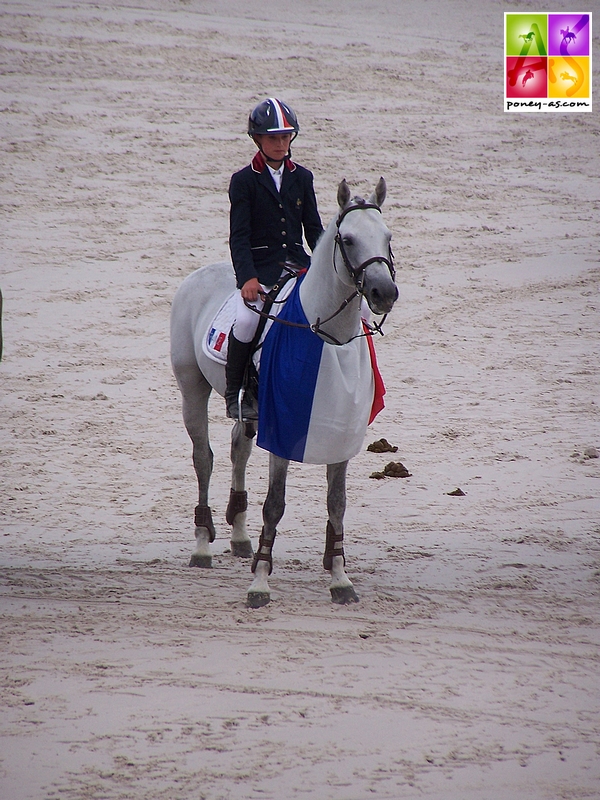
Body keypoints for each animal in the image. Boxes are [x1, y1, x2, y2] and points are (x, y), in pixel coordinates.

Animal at [172, 178, 398, 608]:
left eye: (388, 237)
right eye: (347, 239)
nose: (384, 292)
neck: (326, 336)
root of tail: (199, 274)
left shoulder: (340, 436)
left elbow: (337, 504)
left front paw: (340, 579)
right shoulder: (282, 433)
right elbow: (274, 504)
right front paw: (259, 582)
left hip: (248, 411)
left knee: (237, 449)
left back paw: (240, 536)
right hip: (191, 388)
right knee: (203, 459)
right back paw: (202, 546)